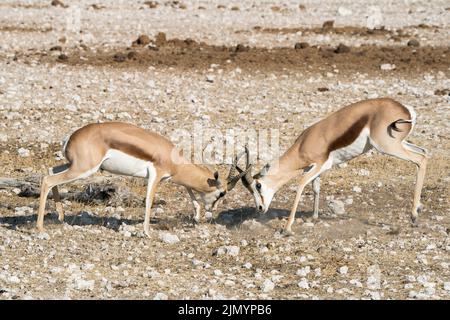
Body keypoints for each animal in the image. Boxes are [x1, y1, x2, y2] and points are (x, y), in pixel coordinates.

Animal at [37, 121, 250, 236]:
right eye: (221, 194)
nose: (211, 214)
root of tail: (70, 138)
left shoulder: (170, 177)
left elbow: (189, 191)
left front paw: (196, 215)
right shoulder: (155, 175)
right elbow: (149, 200)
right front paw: (147, 232)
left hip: (75, 166)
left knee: (50, 170)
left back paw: (60, 216)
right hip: (84, 169)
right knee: (48, 180)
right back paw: (40, 227)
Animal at [236, 97, 428, 235]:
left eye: (258, 185)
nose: (260, 208)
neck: (303, 144)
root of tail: (405, 109)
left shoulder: (321, 164)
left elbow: (301, 184)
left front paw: (287, 228)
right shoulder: (313, 168)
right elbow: (315, 187)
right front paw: (314, 217)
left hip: (386, 146)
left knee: (420, 159)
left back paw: (413, 216)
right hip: (399, 143)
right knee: (425, 152)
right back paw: (416, 210)